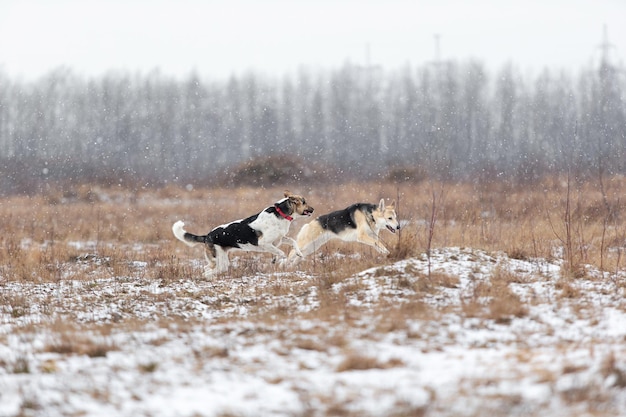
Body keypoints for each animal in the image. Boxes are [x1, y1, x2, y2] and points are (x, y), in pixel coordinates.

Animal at [171, 192, 312, 276]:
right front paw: (281, 259)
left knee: (208, 268)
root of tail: (207, 236)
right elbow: (281, 252)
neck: (281, 213)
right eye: (304, 202)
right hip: (220, 260)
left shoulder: (279, 239)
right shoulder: (264, 243)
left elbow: (292, 241)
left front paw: (298, 253)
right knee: (210, 271)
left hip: (220, 260)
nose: (313, 209)